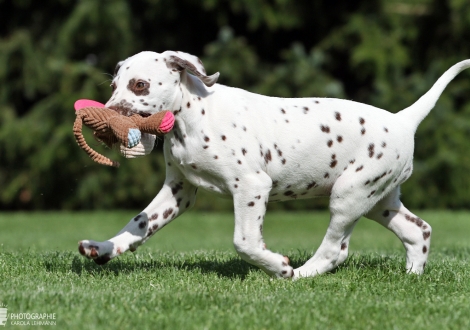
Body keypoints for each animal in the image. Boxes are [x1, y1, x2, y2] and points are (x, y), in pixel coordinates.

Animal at [79, 51, 468, 278]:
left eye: (139, 85)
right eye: (113, 86)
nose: (104, 120)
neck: (194, 116)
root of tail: (403, 119)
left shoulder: (251, 187)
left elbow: (244, 241)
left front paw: (275, 266)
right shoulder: (179, 190)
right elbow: (140, 223)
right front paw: (105, 248)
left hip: (349, 196)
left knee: (335, 251)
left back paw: (299, 274)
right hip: (379, 200)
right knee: (418, 230)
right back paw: (412, 275)